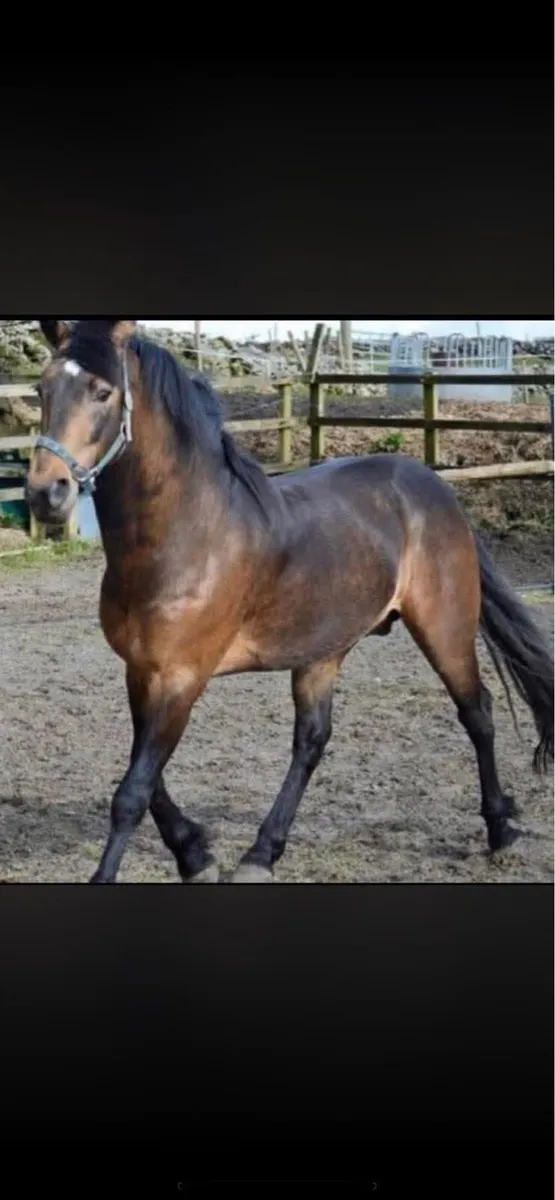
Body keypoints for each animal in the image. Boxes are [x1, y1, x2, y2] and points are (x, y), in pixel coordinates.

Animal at [25, 318, 553, 883]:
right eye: (41, 389)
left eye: (103, 392)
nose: (46, 493)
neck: (187, 533)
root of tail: (435, 487)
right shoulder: (141, 671)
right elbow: (148, 779)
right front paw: (195, 853)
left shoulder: (180, 677)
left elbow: (133, 791)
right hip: (324, 649)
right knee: (312, 740)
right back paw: (262, 853)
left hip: (444, 627)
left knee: (477, 712)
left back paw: (499, 831)